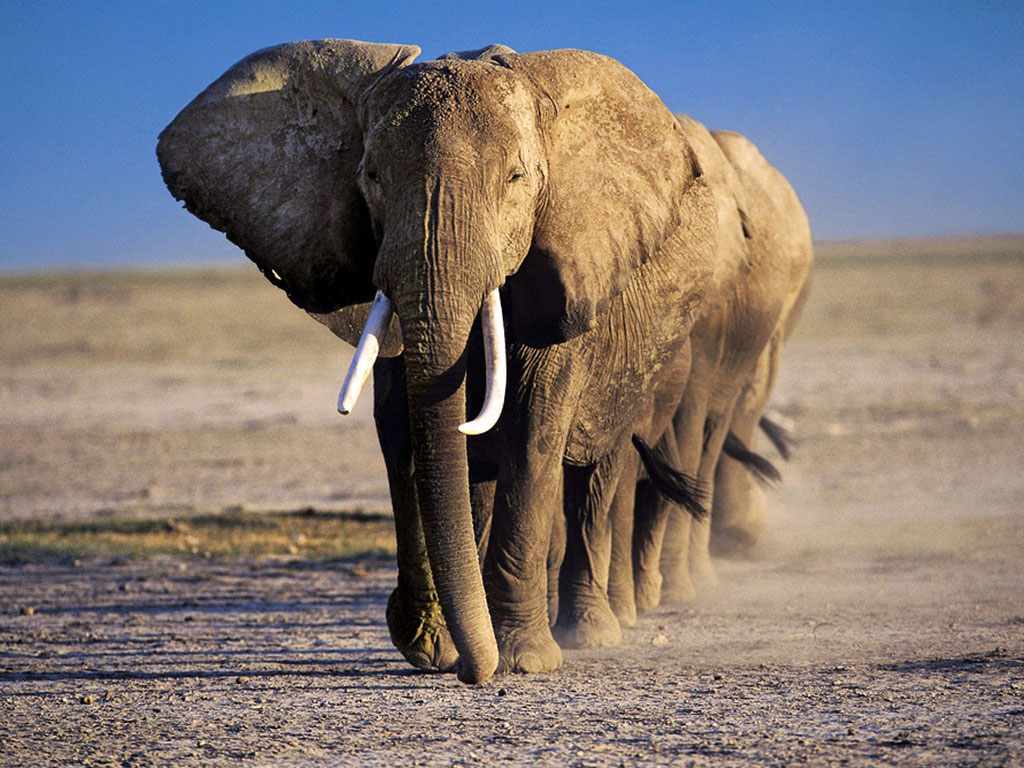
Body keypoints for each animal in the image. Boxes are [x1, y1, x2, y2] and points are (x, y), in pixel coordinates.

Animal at [157, 39, 722, 683]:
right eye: (371, 176)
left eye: (516, 178)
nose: (474, 673)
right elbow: (404, 427)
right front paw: (430, 648)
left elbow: (533, 423)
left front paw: (522, 660)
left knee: (596, 472)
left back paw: (589, 634)